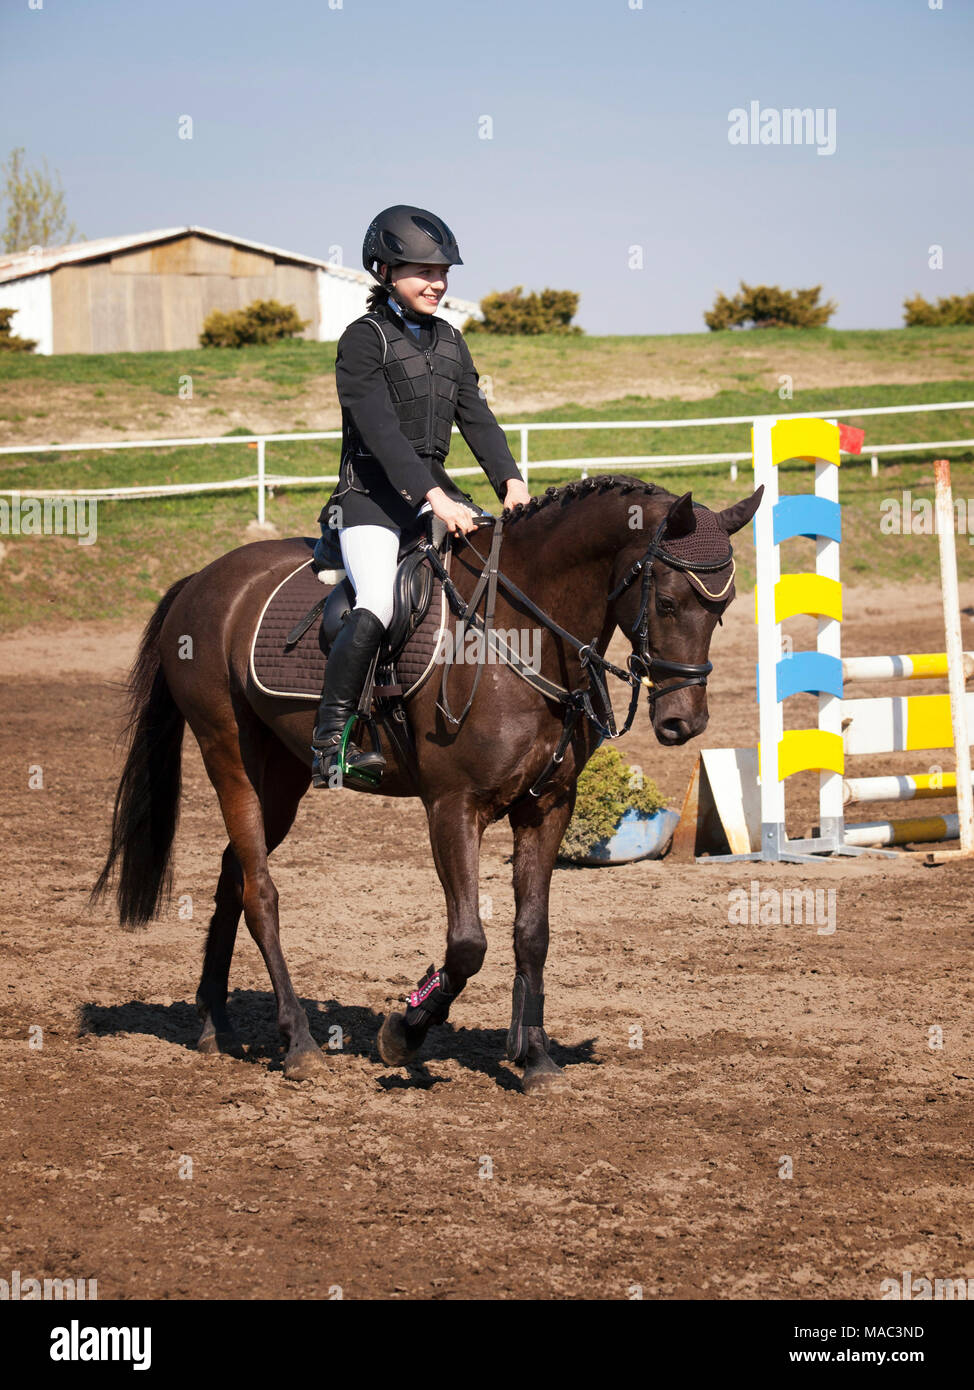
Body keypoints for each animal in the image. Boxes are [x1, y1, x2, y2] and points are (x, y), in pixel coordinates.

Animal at [91, 478, 761, 1095]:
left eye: (722, 607)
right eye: (668, 602)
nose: (683, 723)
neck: (523, 631)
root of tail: (204, 578)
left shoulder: (546, 807)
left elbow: (532, 933)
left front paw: (535, 1058)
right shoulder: (453, 807)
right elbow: (467, 944)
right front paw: (404, 1032)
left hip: (279, 779)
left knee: (234, 873)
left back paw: (214, 1023)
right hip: (228, 754)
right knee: (260, 891)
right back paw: (300, 1042)